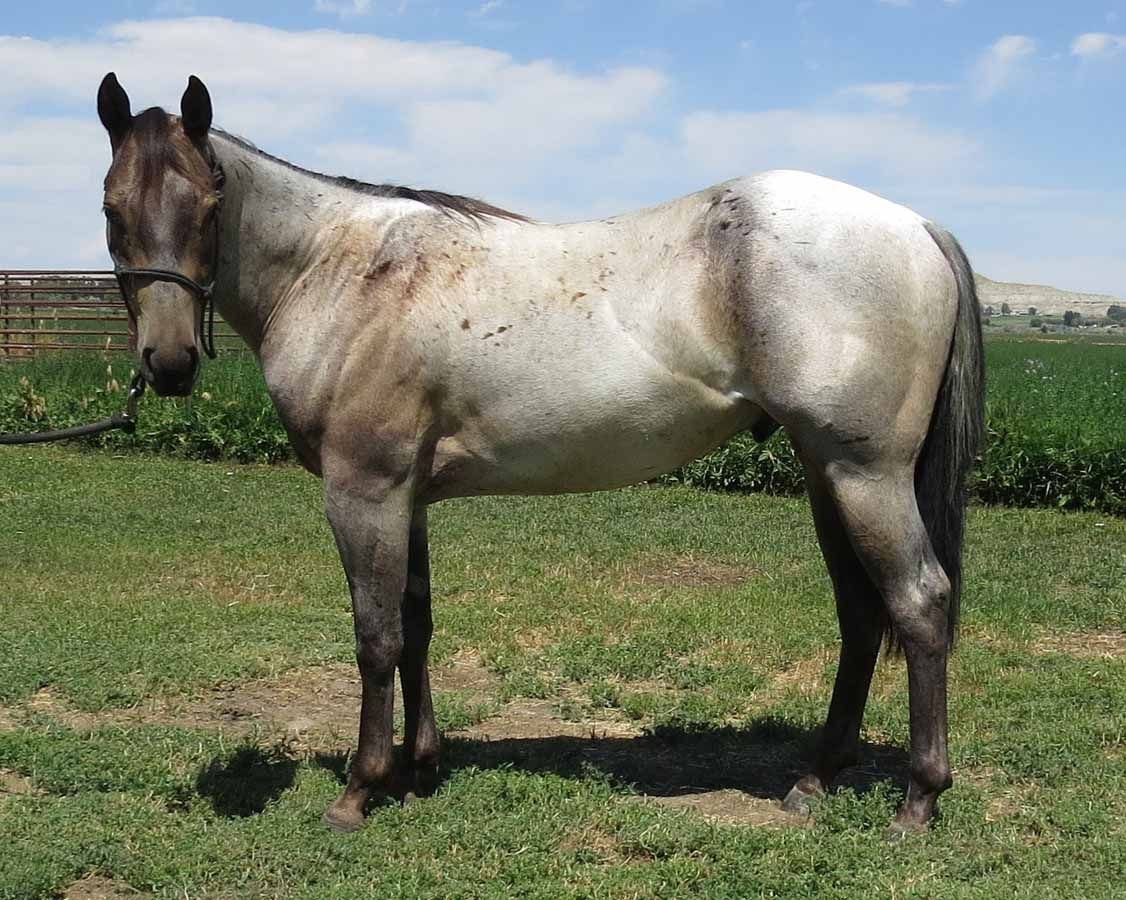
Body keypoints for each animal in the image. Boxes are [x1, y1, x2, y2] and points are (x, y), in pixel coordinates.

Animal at [95, 72, 984, 839]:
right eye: (110, 207)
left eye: (209, 202)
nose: (168, 362)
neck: (342, 269)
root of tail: (917, 227)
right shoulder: (407, 498)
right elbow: (416, 624)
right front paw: (419, 770)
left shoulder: (364, 492)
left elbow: (375, 636)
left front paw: (359, 790)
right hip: (826, 473)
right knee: (862, 614)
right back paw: (814, 780)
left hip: (863, 475)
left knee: (919, 602)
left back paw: (918, 800)